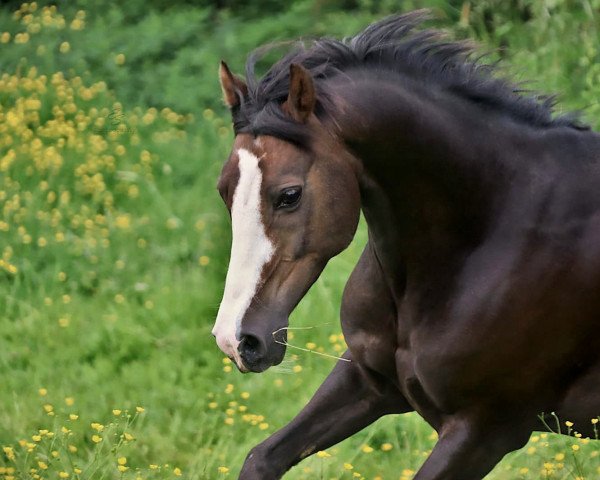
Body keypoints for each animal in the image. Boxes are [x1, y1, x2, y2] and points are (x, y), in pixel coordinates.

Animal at [211, 11, 600, 480]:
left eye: (289, 195)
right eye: (224, 190)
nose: (236, 340)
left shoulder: (484, 430)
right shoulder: (368, 380)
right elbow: (261, 457)